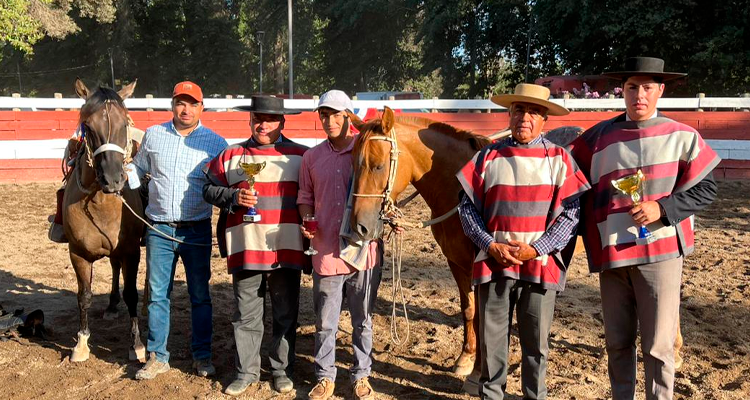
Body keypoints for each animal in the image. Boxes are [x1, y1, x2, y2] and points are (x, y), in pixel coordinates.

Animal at [63, 78, 145, 362]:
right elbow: (84, 295)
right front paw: (81, 343)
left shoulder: (131, 251)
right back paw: (110, 305)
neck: (100, 203)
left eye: (125, 123)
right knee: (113, 267)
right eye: (88, 126)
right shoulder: (77, 253)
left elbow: (131, 294)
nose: (113, 179)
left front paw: (136, 344)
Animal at [346, 106, 488, 376]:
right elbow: (469, 309)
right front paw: (466, 357)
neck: (462, 191)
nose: (359, 227)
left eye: (378, 166)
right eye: (352, 163)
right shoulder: (457, 262)